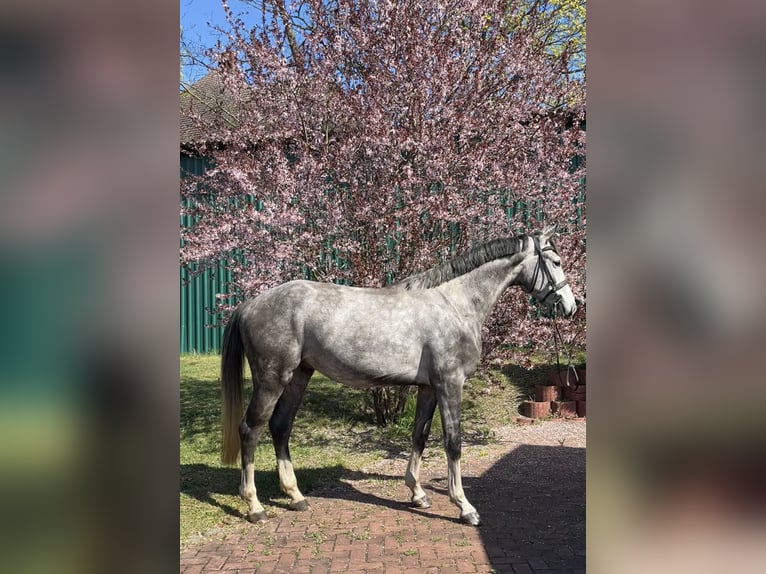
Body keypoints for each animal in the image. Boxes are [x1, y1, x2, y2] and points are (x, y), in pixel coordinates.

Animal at [220, 225, 577, 526]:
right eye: (556, 261)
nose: (571, 306)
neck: (455, 303)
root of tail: (249, 305)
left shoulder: (428, 388)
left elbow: (420, 436)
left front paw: (418, 494)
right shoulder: (450, 384)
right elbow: (453, 443)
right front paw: (464, 507)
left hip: (299, 376)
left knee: (280, 427)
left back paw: (295, 496)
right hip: (272, 378)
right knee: (251, 429)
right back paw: (254, 506)